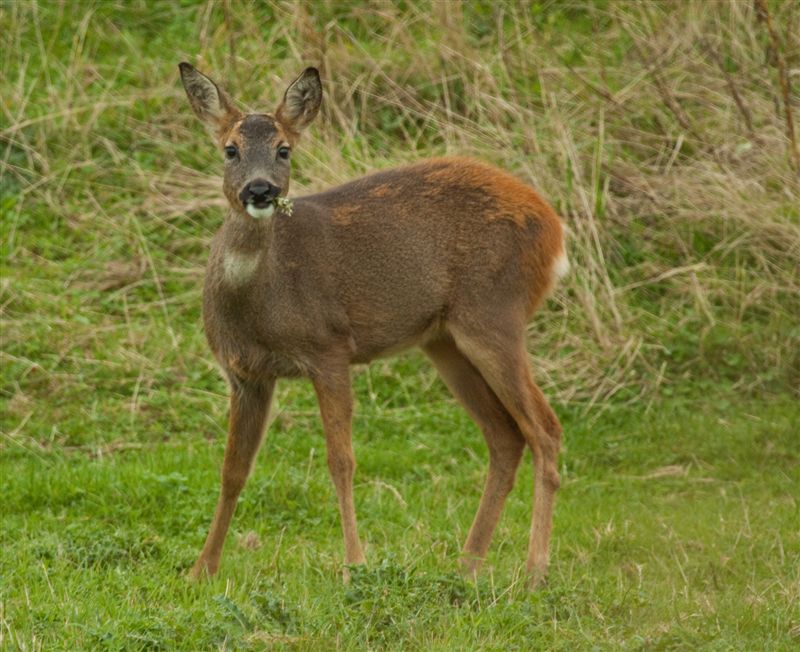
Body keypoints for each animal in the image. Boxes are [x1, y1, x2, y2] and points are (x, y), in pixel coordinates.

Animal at [181, 63, 568, 588]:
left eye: (284, 149)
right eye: (230, 149)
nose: (260, 191)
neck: (264, 300)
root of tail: (554, 229)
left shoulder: (329, 348)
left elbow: (340, 460)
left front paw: (354, 565)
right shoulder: (245, 374)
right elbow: (231, 470)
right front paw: (201, 569)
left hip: (494, 313)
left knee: (545, 428)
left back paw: (534, 572)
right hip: (445, 340)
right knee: (505, 436)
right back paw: (466, 565)